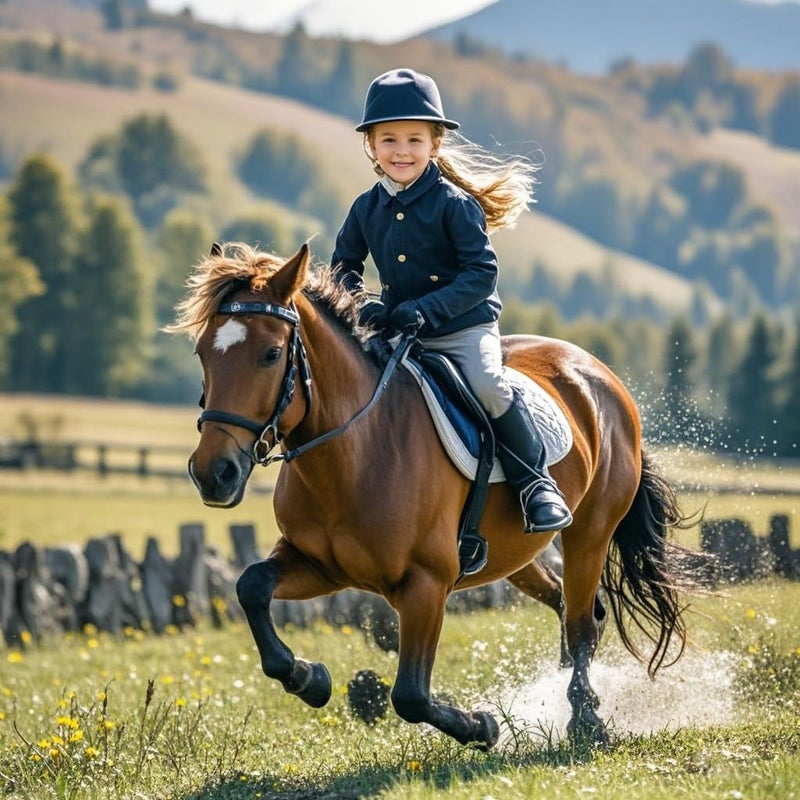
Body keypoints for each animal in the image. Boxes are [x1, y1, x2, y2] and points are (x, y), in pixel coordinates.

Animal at [171, 241, 704, 749]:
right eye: (201, 354)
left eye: (270, 354)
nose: (213, 474)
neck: (353, 454)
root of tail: (600, 374)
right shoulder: (319, 564)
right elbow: (251, 586)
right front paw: (309, 678)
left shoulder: (426, 584)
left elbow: (410, 695)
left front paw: (482, 726)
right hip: (517, 555)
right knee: (568, 605)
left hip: (589, 535)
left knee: (580, 622)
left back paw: (585, 717)